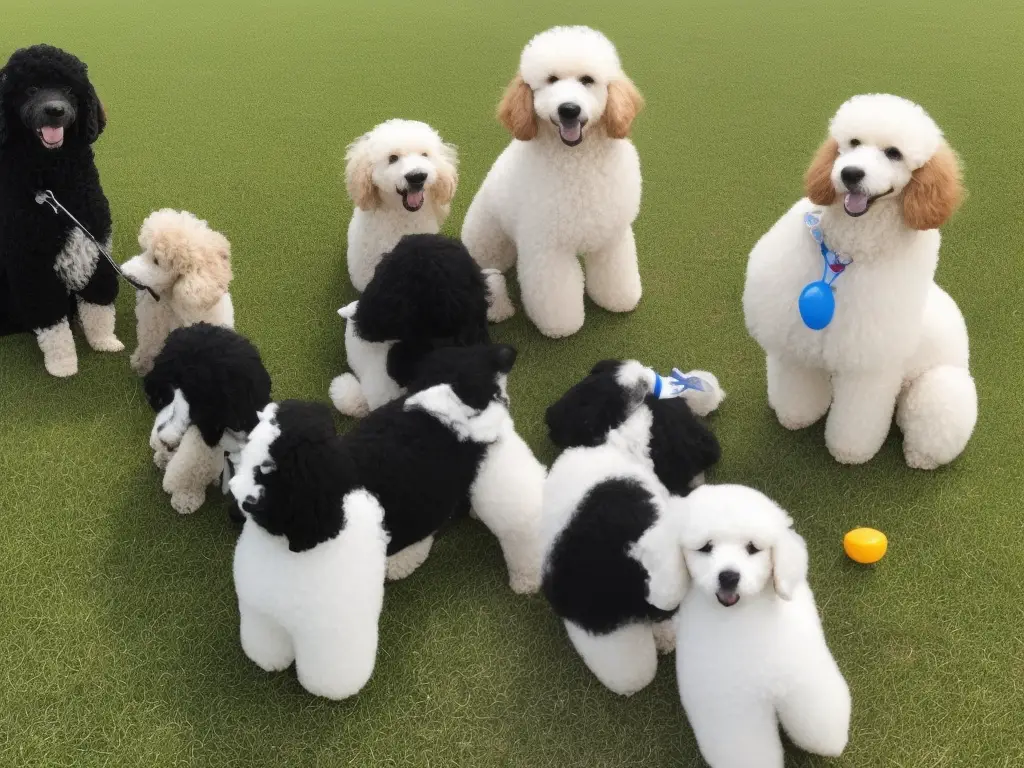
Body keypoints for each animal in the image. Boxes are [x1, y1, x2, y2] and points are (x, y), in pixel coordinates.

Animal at [120, 208, 233, 376]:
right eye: (144, 250)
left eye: (156, 261)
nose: (124, 273)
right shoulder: (152, 323)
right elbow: (148, 345)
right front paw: (141, 364)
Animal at [462, 25, 643, 337]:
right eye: (551, 80)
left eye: (587, 80)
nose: (568, 109)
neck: (577, 161)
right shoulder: (547, 247)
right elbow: (556, 294)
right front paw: (561, 327)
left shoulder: (612, 236)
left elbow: (615, 273)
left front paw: (618, 299)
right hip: (489, 243)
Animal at [655, 487, 847, 768]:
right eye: (706, 547)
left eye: (752, 548)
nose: (729, 576)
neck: (742, 617)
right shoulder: (734, 711)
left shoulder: (802, 682)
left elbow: (817, 723)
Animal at [741, 96, 970, 468]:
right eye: (852, 143)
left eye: (893, 153)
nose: (850, 173)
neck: (845, 253)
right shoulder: (795, 340)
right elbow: (797, 387)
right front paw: (796, 416)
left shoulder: (871, 368)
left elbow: (858, 419)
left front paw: (849, 452)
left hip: (939, 387)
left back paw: (919, 457)